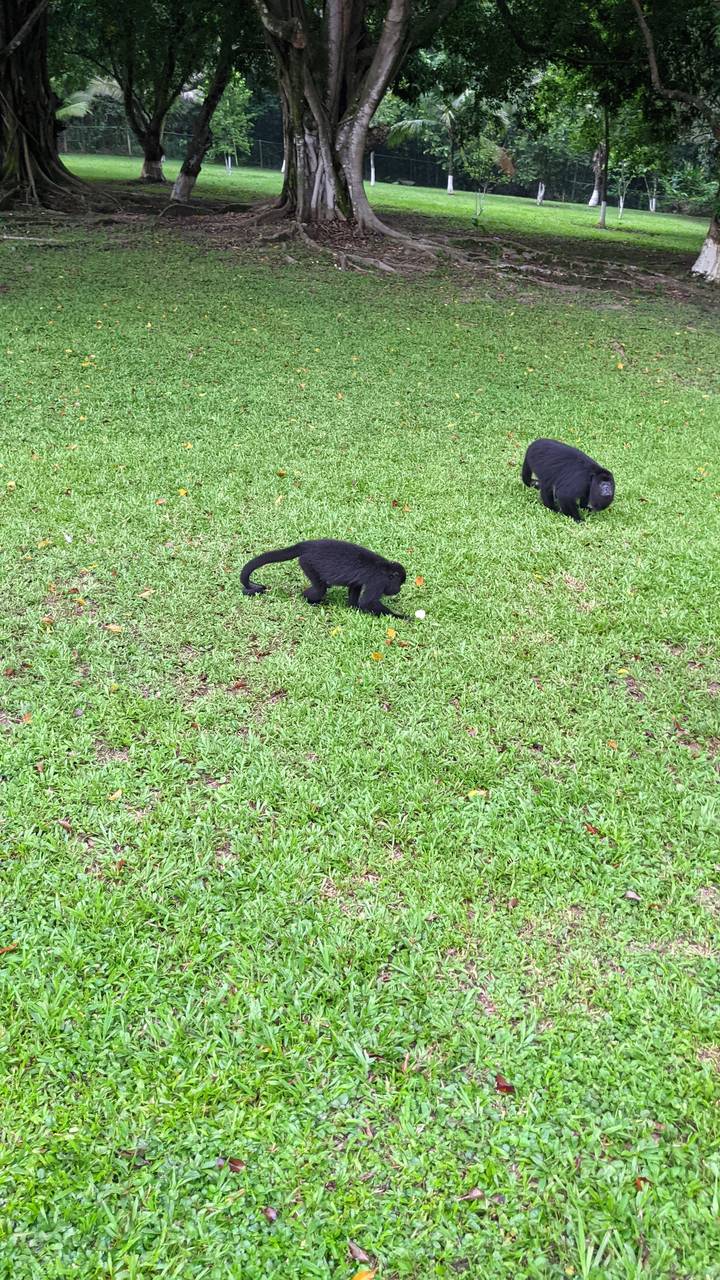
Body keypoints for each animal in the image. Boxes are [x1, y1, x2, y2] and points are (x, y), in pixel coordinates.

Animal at [240, 539, 408, 617]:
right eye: (398, 583)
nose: (398, 589)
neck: (386, 570)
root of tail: (307, 544)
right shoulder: (378, 581)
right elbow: (368, 602)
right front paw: (400, 617)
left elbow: (355, 586)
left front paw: (353, 607)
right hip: (307, 563)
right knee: (321, 588)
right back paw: (307, 598)